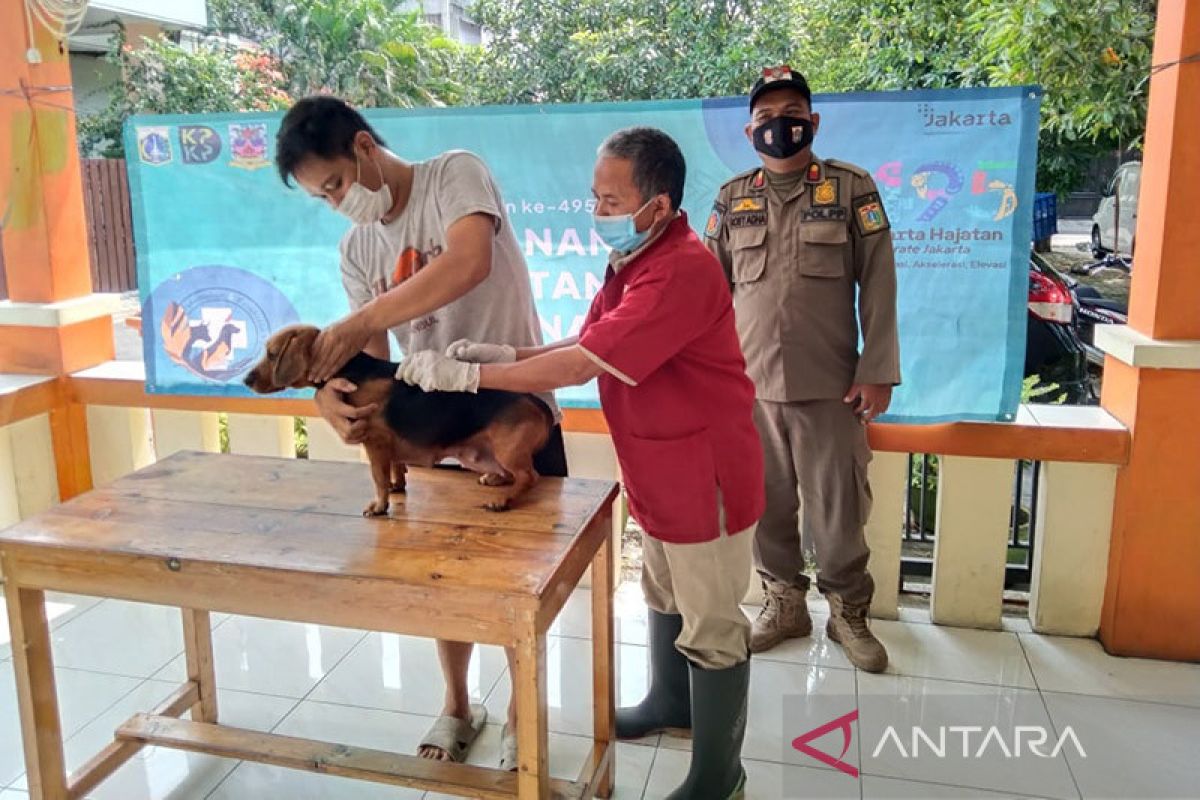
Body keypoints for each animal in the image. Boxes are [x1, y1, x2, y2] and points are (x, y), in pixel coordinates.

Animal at [243, 326, 552, 520]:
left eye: (272, 354)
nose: (245, 379)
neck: (352, 369)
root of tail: (539, 404)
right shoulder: (387, 447)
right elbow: (395, 469)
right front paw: (396, 486)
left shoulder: (374, 442)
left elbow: (378, 478)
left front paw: (380, 506)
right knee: (513, 474)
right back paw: (496, 480)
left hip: (507, 450)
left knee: (529, 476)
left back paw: (504, 500)